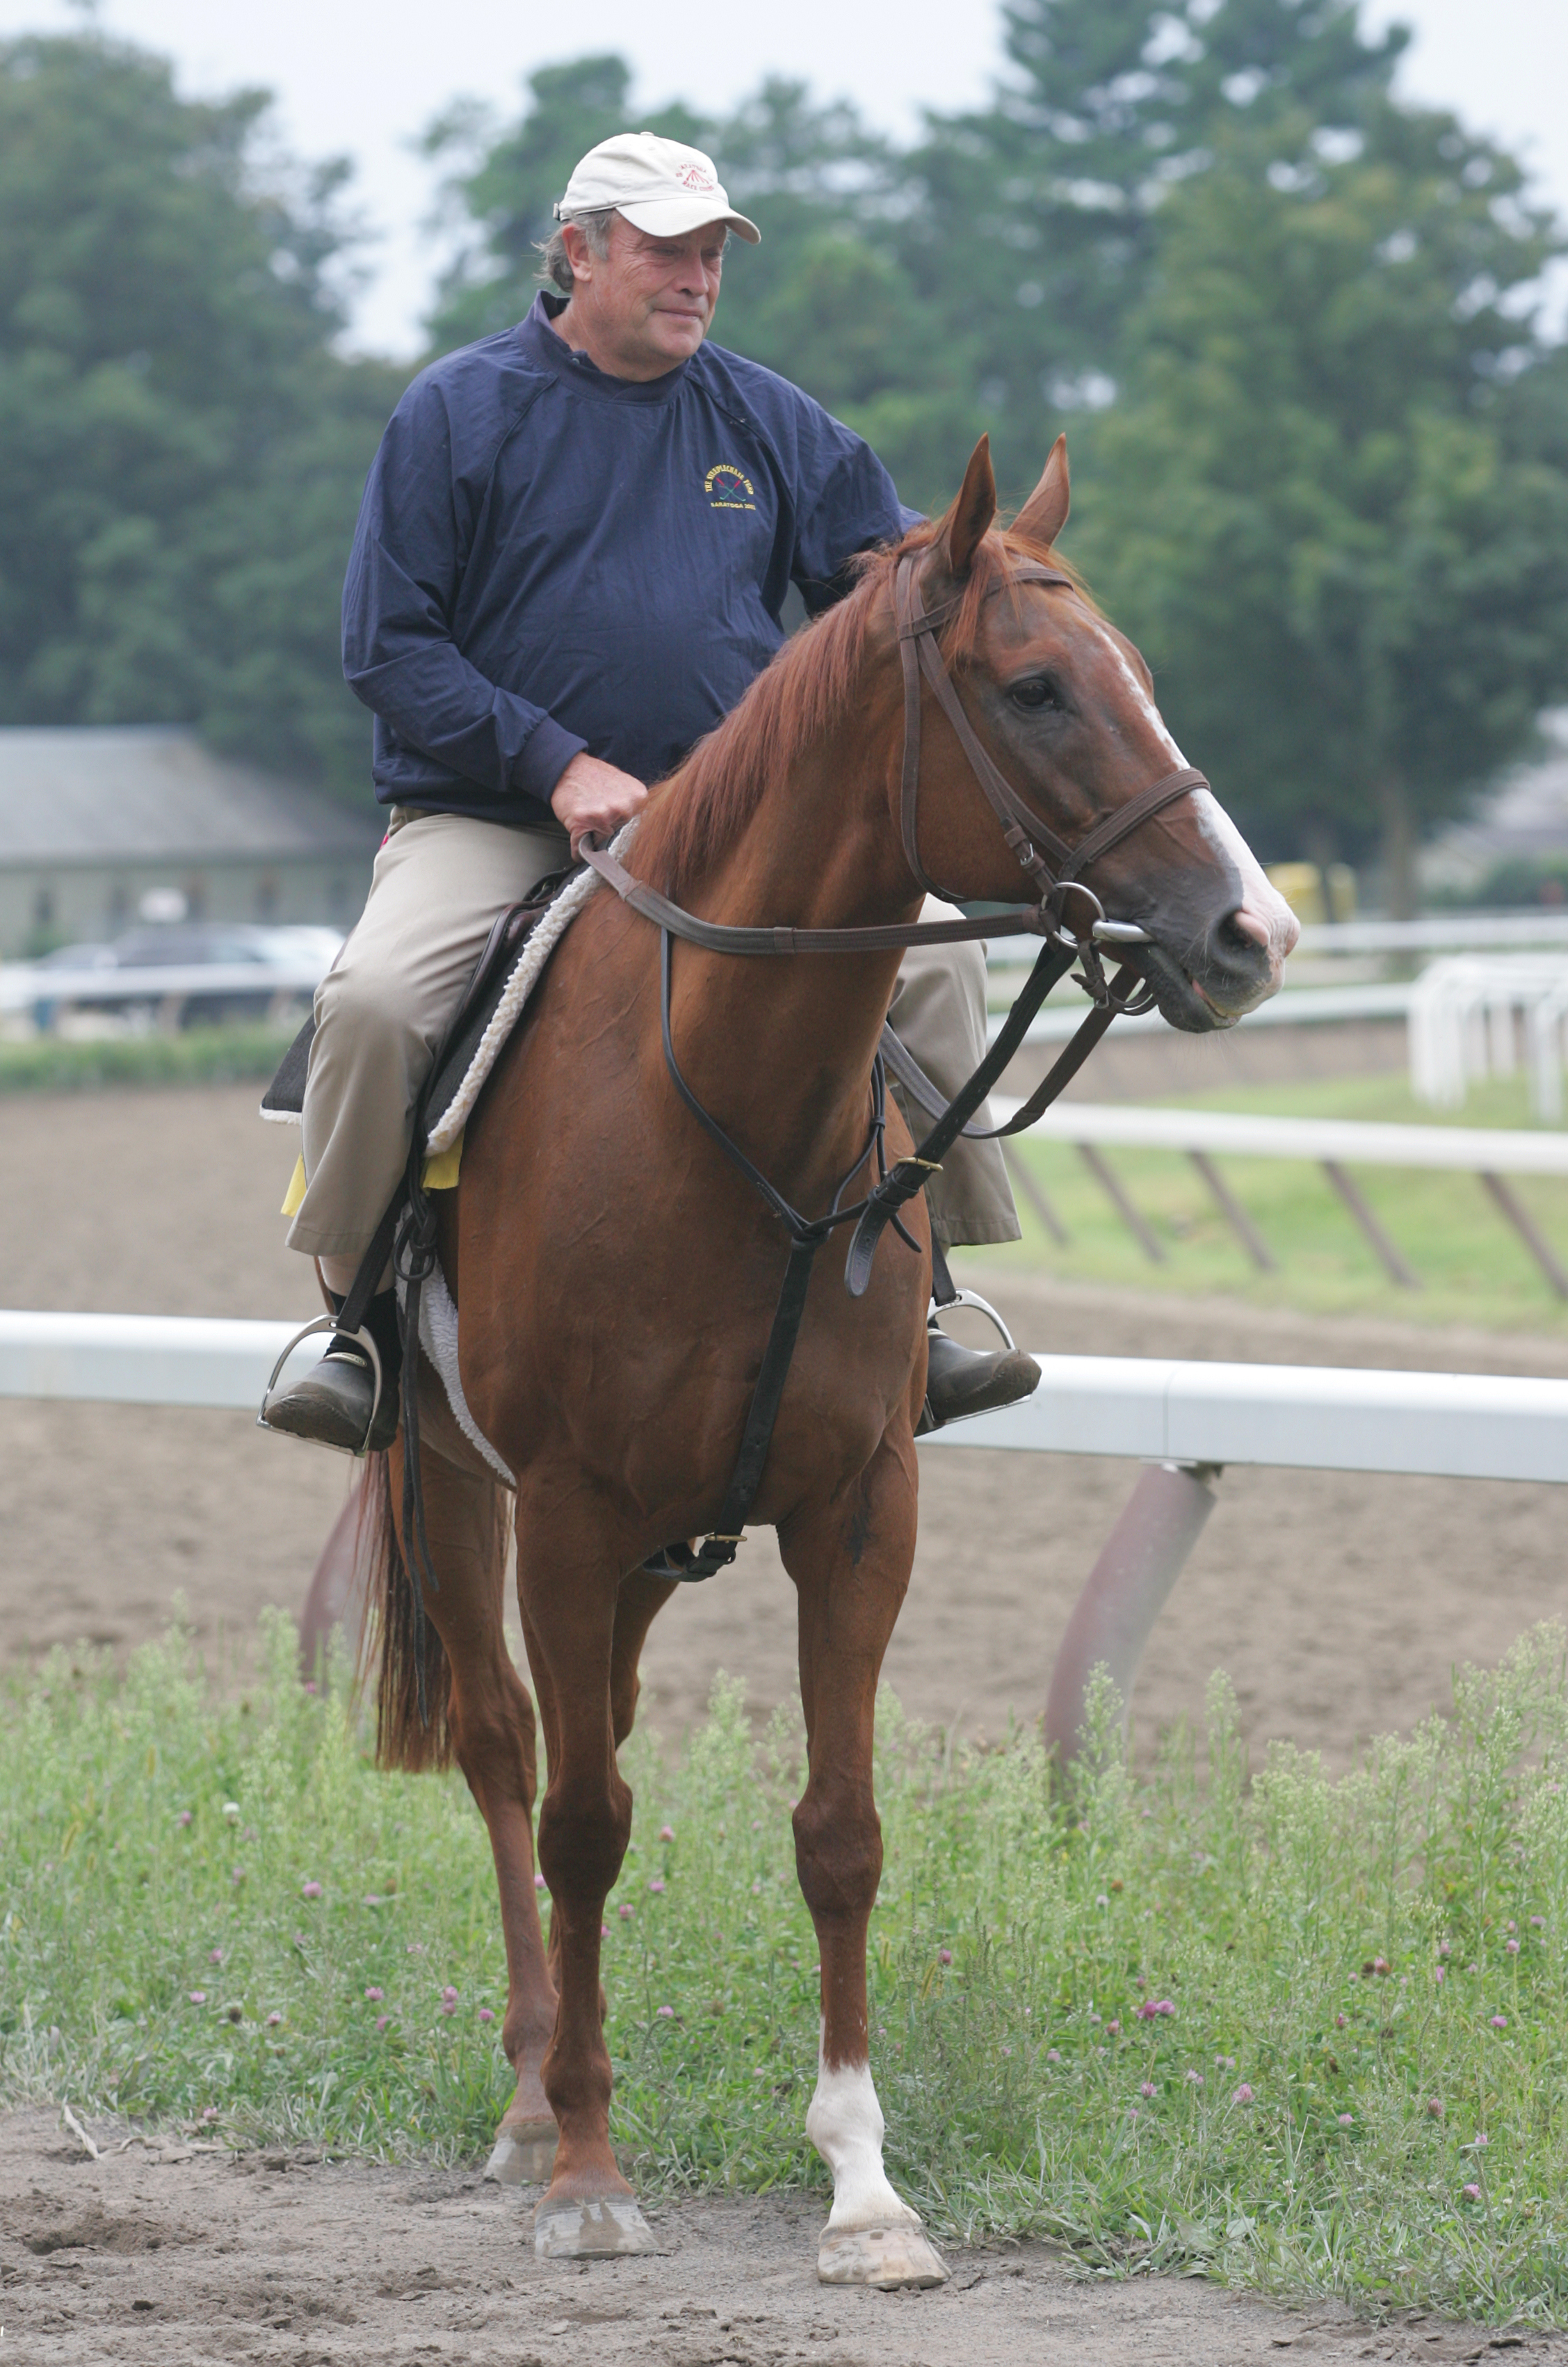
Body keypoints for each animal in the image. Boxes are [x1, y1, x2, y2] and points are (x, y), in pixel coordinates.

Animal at [359, 435, 1295, 2281]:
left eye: (1140, 673)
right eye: (1036, 688)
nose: (1251, 934)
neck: (726, 1110)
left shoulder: (858, 1503)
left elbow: (838, 1833)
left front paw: (862, 2182)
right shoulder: (561, 1506)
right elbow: (581, 1821)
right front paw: (588, 2169)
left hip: (656, 1541)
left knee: (593, 1722)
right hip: (450, 1480)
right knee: (511, 1749)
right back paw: (530, 2097)